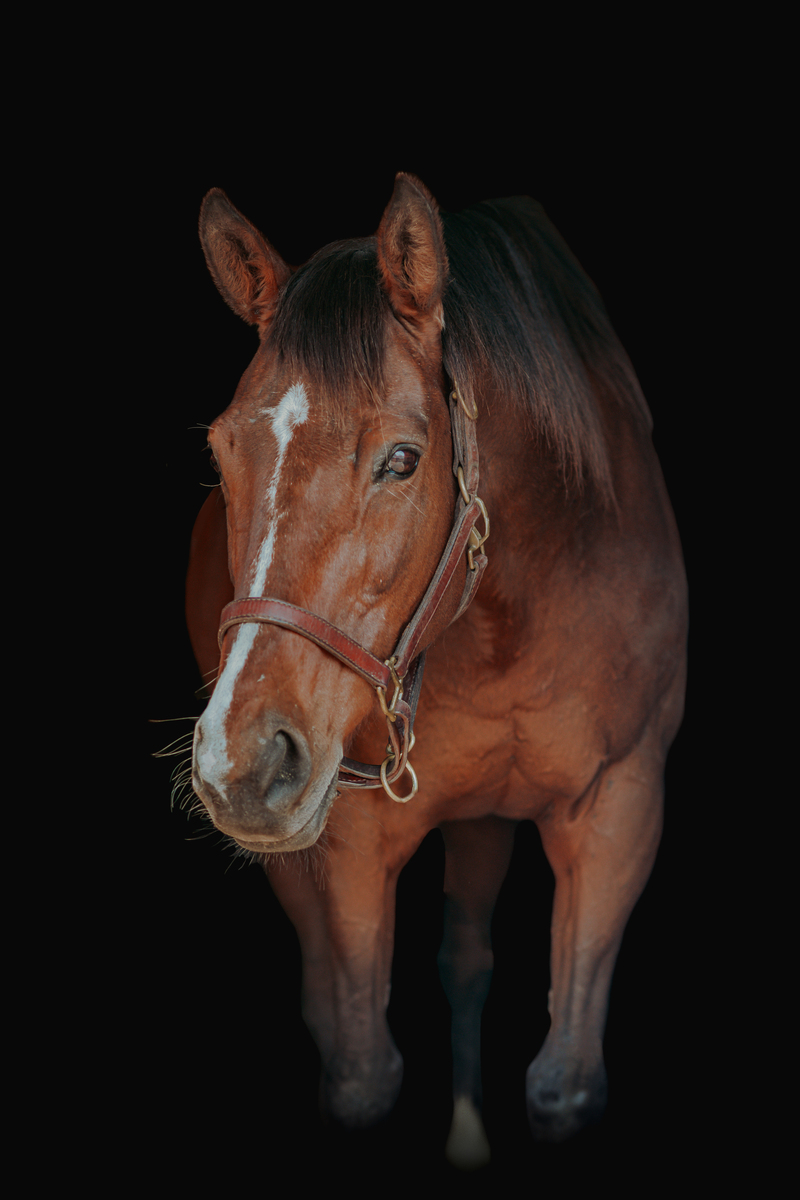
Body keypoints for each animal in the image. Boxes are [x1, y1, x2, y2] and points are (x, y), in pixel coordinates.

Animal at [184, 174, 687, 1164]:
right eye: (222, 452)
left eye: (403, 459)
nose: (241, 763)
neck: (508, 622)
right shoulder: (346, 843)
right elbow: (361, 1073)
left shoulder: (621, 803)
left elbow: (564, 1084)